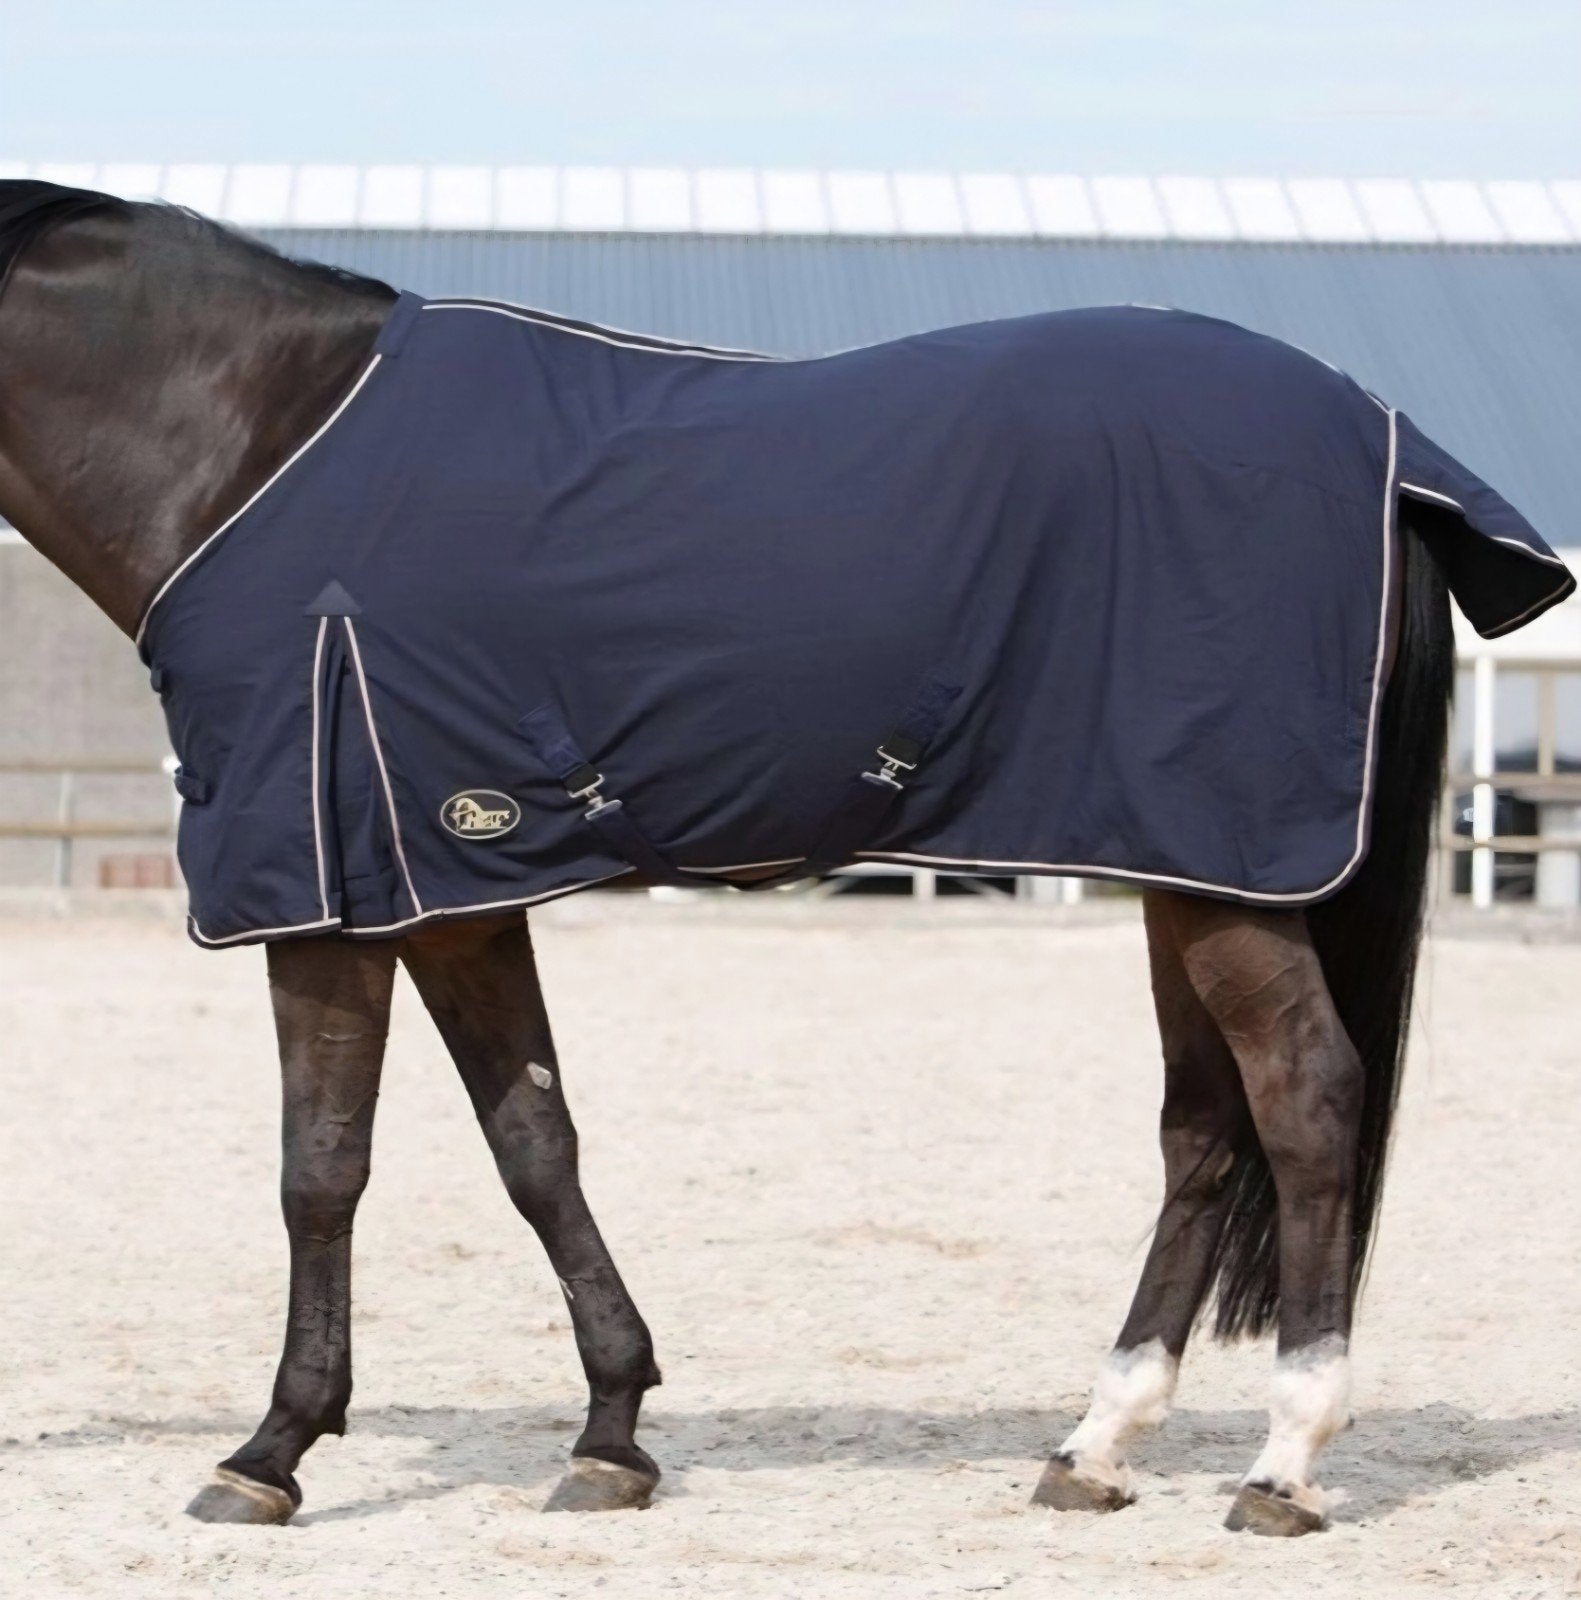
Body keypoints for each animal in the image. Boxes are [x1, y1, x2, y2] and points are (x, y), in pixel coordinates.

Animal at [0, 177, 1537, 1537]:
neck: (256, 446)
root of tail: (1378, 438)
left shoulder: (320, 901)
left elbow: (320, 1167)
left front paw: (270, 1451)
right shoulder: (451, 897)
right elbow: (534, 1143)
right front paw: (611, 1433)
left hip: (1229, 873)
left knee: (1307, 1098)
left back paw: (1283, 1464)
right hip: (1187, 869)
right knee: (1204, 1129)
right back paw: (1094, 1445)